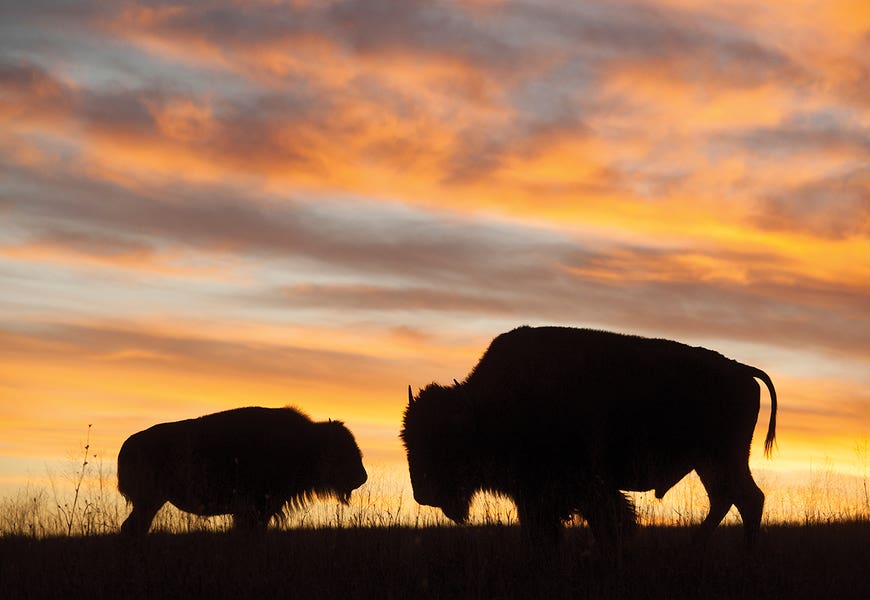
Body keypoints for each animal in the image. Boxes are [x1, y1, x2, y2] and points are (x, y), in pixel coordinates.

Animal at [118, 406, 367, 535]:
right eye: (342, 451)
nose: (362, 477)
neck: (307, 443)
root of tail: (128, 445)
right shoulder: (256, 506)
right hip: (148, 501)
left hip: (151, 503)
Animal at [401, 326, 777, 549]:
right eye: (409, 440)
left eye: (443, 441)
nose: (423, 494)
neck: (486, 408)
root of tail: (741, 369)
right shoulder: (536, 493)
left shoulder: (578, 486)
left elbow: (607, 522)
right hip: (711, 462)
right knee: (729, 499)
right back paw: (696, 548)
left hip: (723, 457)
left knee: (747, 499)